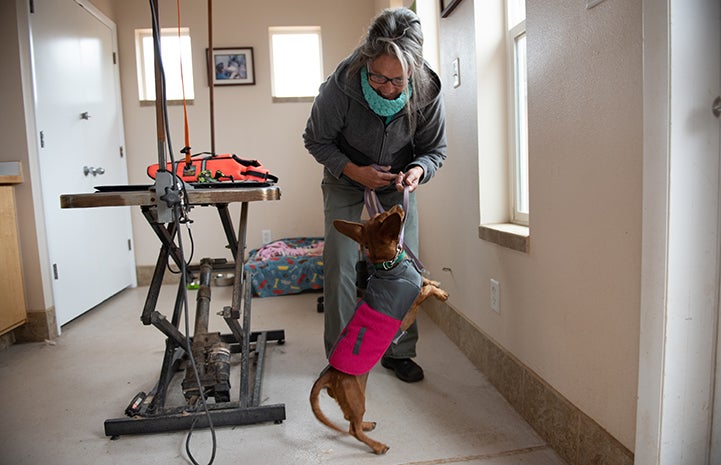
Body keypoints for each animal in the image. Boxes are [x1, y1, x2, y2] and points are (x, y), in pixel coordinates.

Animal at [308, 206, 448, 454]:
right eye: (385, 216)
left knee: (351, 422)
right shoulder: (411, 308)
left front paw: (434, 282)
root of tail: (329, 373)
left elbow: (425, 280)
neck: (390, 265)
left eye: (377, 216)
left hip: (354, 395)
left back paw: (367, 425)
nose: (399, 206)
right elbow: (426, 290)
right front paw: (439, 293)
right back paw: (377, 445)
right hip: (357, 399)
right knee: (353, 430)